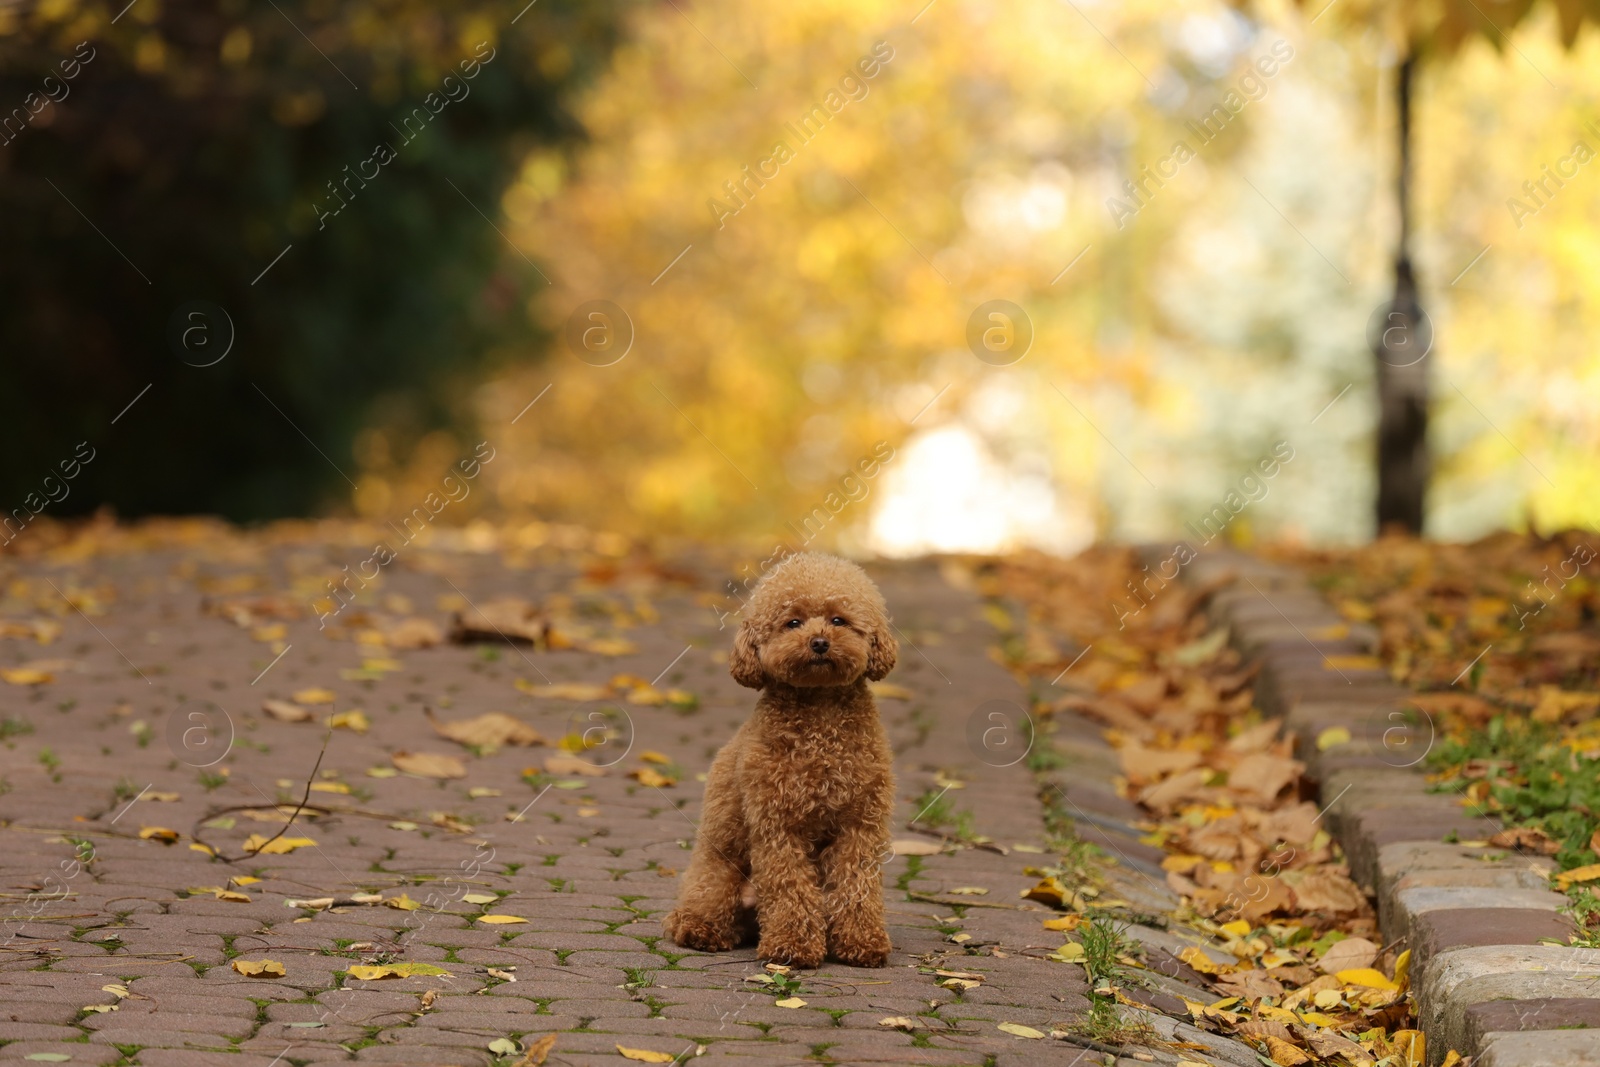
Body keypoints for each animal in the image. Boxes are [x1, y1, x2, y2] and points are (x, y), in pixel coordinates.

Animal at [656, 556, 896, 972]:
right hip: (719, 871)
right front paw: (793, 946)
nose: (819, 643)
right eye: (793, 622)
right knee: (698, 907)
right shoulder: (777, 825)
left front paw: (861, 942)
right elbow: (789, 887)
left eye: (838, 620)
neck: (820, 716)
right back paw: (701, 930)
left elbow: (857, 886)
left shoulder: (860, 826)